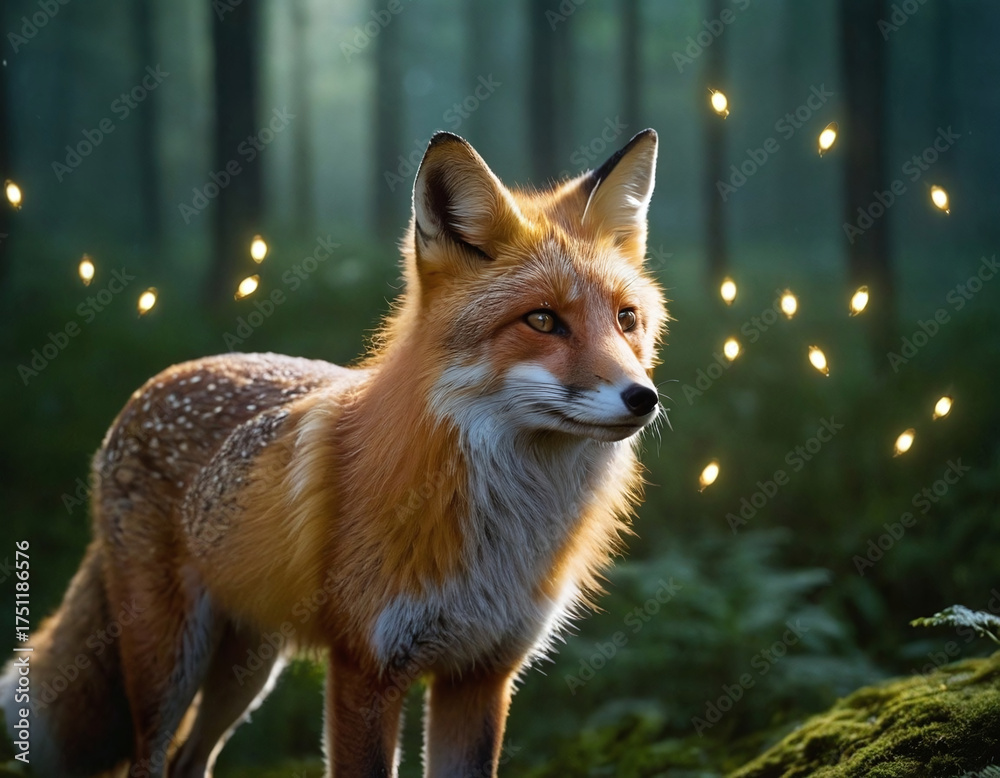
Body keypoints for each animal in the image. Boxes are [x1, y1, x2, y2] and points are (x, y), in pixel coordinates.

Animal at [1, 128, 666, 777]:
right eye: (543, 320)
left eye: (626, 319)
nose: (644, 398)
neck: (506, 529)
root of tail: (155, 382)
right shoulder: (365, 668)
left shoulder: (480, 674)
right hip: (171, 664)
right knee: (152, 761)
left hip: (247, 669)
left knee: (194, 761)